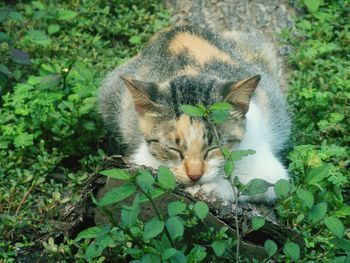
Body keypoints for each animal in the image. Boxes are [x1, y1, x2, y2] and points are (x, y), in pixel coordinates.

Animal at [98, 26, 290, 204]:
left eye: (213, 148)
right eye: (173, 149)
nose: (195, 175)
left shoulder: (270, 170)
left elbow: (254, 184)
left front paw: (209, 188)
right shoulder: (142, 158)